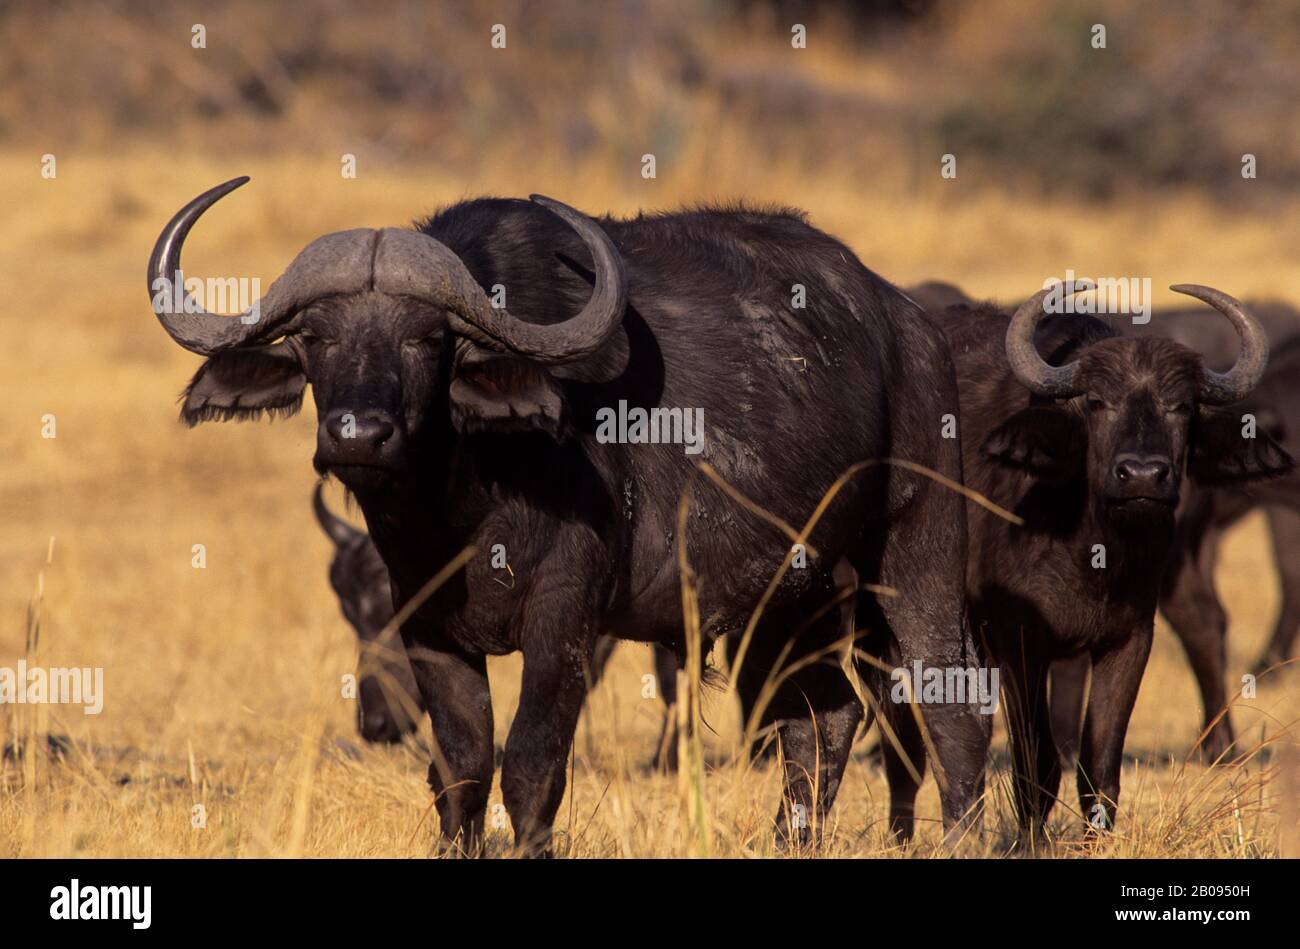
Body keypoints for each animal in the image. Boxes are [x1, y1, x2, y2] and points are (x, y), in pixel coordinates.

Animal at [149, 179, 990, 854]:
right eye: (315, 337)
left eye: (427, 339)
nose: (359, 435)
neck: (466, 501)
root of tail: (908, 323)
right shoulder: (426, 622)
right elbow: (460, 764)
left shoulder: (566, 619)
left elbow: (530, 761)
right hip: (790, 593)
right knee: (821, 718)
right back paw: (793, 840)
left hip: (917, 550)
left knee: (948, 708)